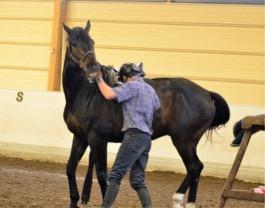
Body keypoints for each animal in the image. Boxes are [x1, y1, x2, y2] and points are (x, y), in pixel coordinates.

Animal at [62, 21, 229, 208]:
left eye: (92, 41)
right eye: (73, 43)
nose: (92, 68)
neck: (86, 92)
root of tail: (206, 93)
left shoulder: (98, 139)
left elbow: (102, 175)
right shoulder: (80, 137)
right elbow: (70, 167)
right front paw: (75, 200)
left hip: (184, 141)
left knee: (195, 167)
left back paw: (177, 198)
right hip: (190, 143)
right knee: (196, 169)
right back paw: (190, 203)